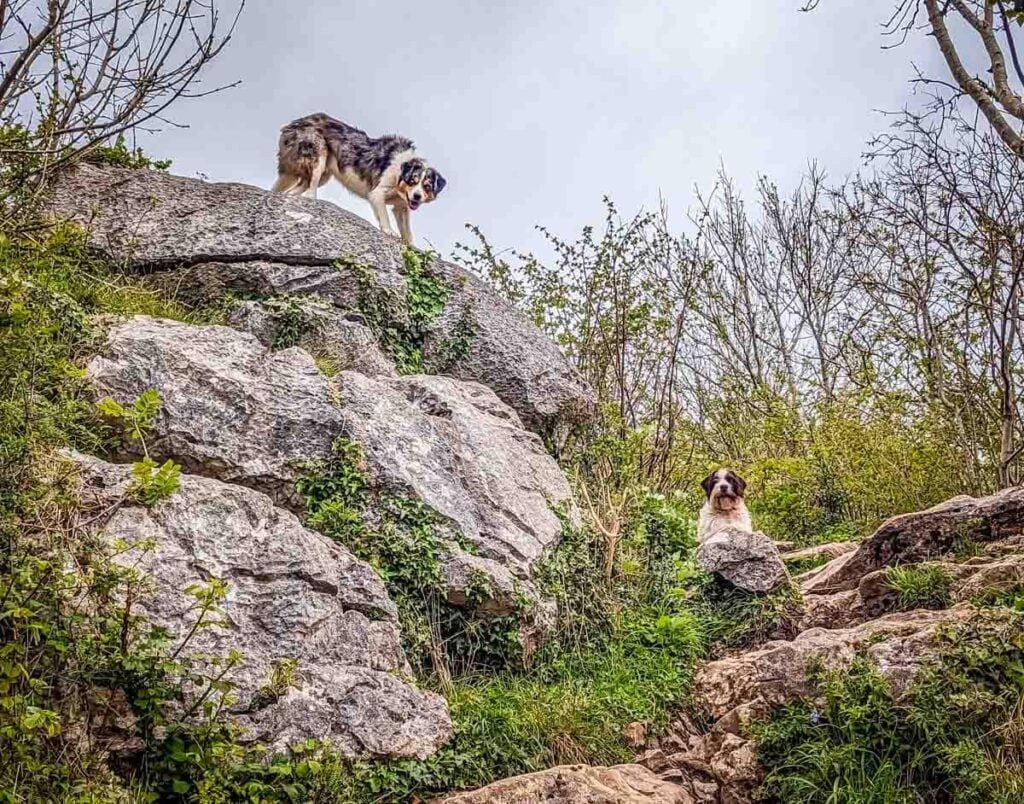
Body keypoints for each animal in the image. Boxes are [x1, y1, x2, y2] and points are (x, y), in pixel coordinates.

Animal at [274, 112, 446, 244]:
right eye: (412, 181)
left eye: (427, 187)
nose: (417, 196)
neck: (400, 172)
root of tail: (293, 124)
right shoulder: (377, 193)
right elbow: (384, 216)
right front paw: (389, 231)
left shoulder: (401, 207)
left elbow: (408, 232)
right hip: (318, 159)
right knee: (310, 191)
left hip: (322, 175)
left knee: (293, 191)